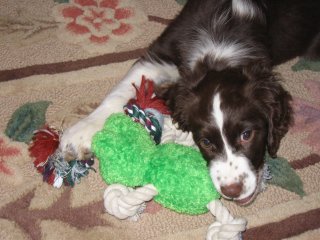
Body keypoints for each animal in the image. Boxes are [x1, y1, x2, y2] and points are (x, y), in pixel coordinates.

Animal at [60, 0, 320, 205]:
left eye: (247, 135)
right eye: (205, 141)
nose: (232, 190)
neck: (221, 42)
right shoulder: (162, 52)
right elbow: (120, 90)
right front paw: (79, 135)